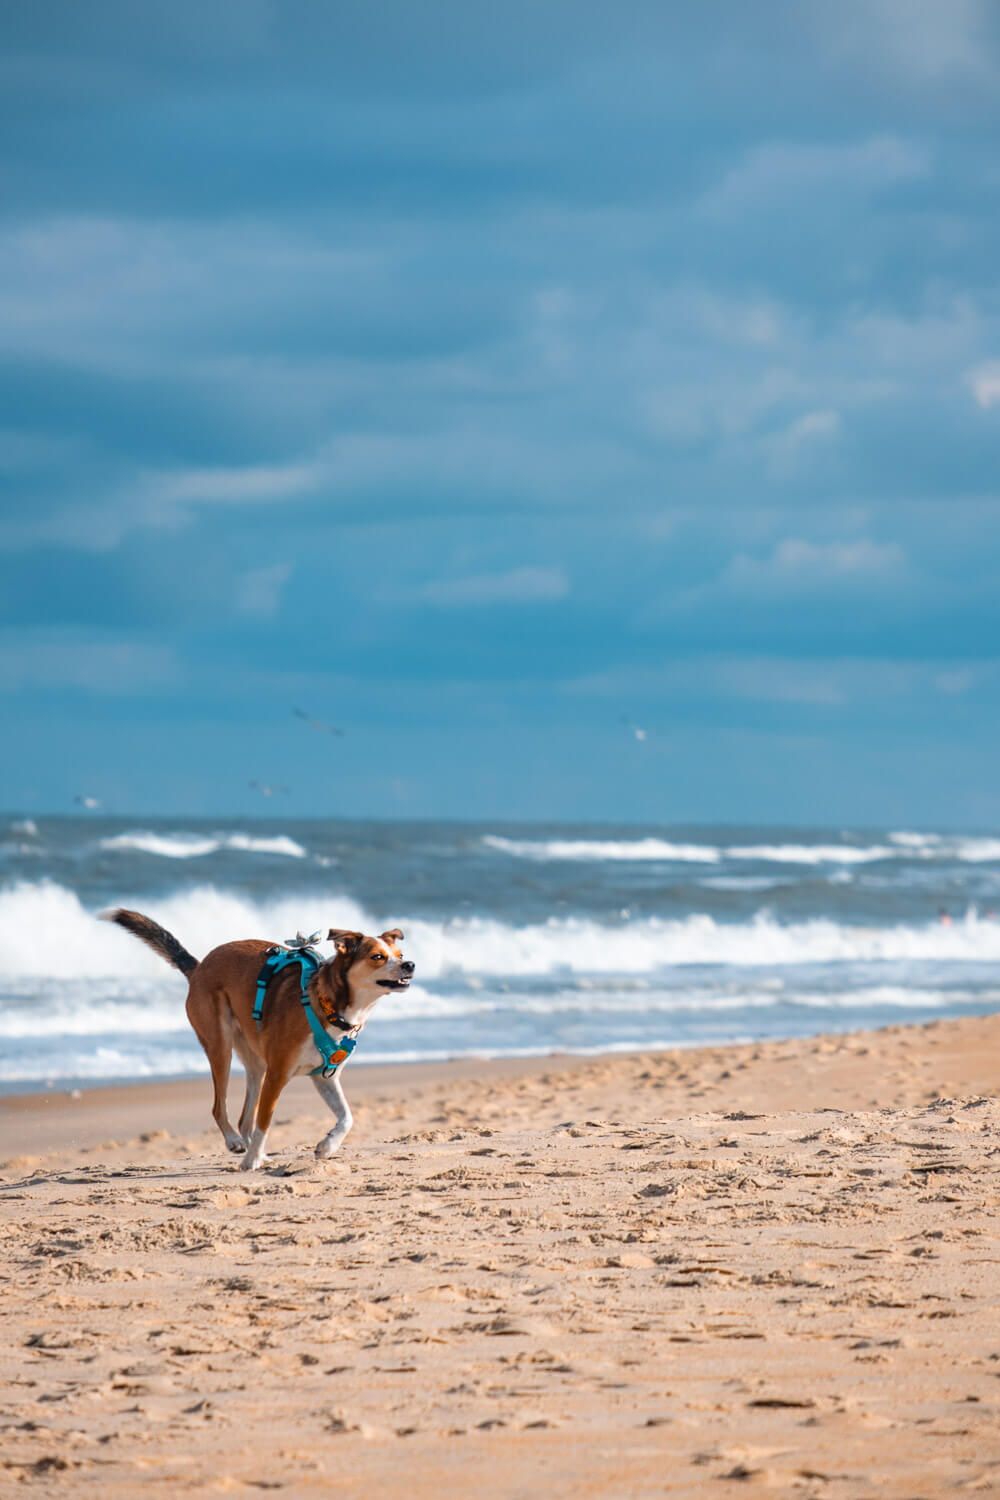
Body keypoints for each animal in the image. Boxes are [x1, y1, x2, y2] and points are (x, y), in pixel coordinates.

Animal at [102, 912, 413, 1170]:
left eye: (399, 953)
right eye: (377, 957)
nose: (410, 964)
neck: (329, 1004)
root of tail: (200, 966)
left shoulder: (324, 1077)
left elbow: (347, 1116)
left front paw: (327, 1146)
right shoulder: (278, 1075)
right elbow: (265, 1121)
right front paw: (251, 1162)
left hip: (256, 1063)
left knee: (244, 1117)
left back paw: (257, 1151)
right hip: (221, 1048)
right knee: (221, 1108)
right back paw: (238, 1143)